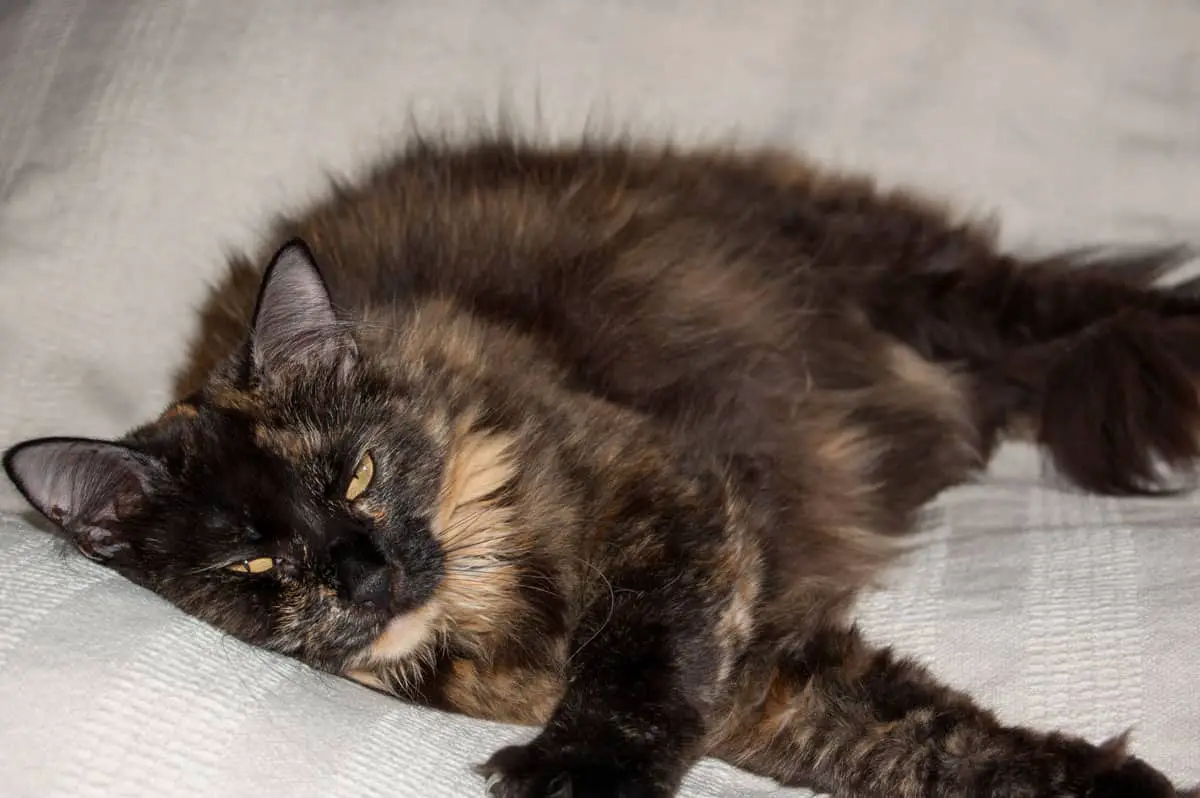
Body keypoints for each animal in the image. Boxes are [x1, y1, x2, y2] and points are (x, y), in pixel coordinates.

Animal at [4, 138, 1195, 796]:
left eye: (355, 476)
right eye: (254, 568)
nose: (362, 572)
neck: (485, 613)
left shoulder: (664, 494)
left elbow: (637, 657)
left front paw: (578, 770)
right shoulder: (755, 674)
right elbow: (915, 741)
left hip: (924, 279)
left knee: (1067, 296)